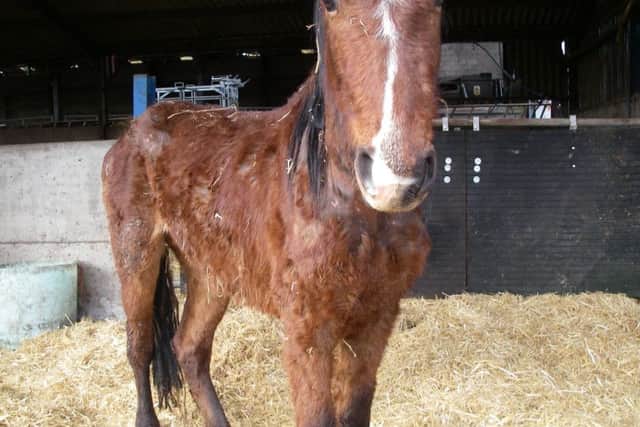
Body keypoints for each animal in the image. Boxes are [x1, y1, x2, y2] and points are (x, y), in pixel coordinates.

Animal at [102, 1, 442, 425]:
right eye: (331, 6)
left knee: (189, 348)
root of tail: (134, 130)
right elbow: (318, 415)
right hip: (136, 255)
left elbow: (354, 411)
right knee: (140, 347)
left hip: (210, 272)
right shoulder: (307, 333)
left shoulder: (375, 323)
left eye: (438, 6)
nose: (394, 177)